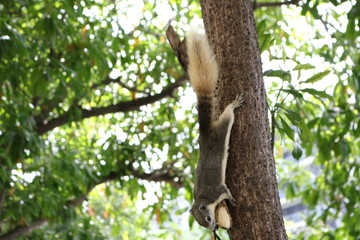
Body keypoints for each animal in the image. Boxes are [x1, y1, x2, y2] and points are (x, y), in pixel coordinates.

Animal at [187, 32, 243, 232]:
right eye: (202, 223)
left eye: (209, 218)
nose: (214, 229)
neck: (204, 199)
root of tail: (205, 135)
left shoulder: (218, 190)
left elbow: (227, 192)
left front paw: (233, 201)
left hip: (222, 129)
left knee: (227, 116)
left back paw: (233, 105)